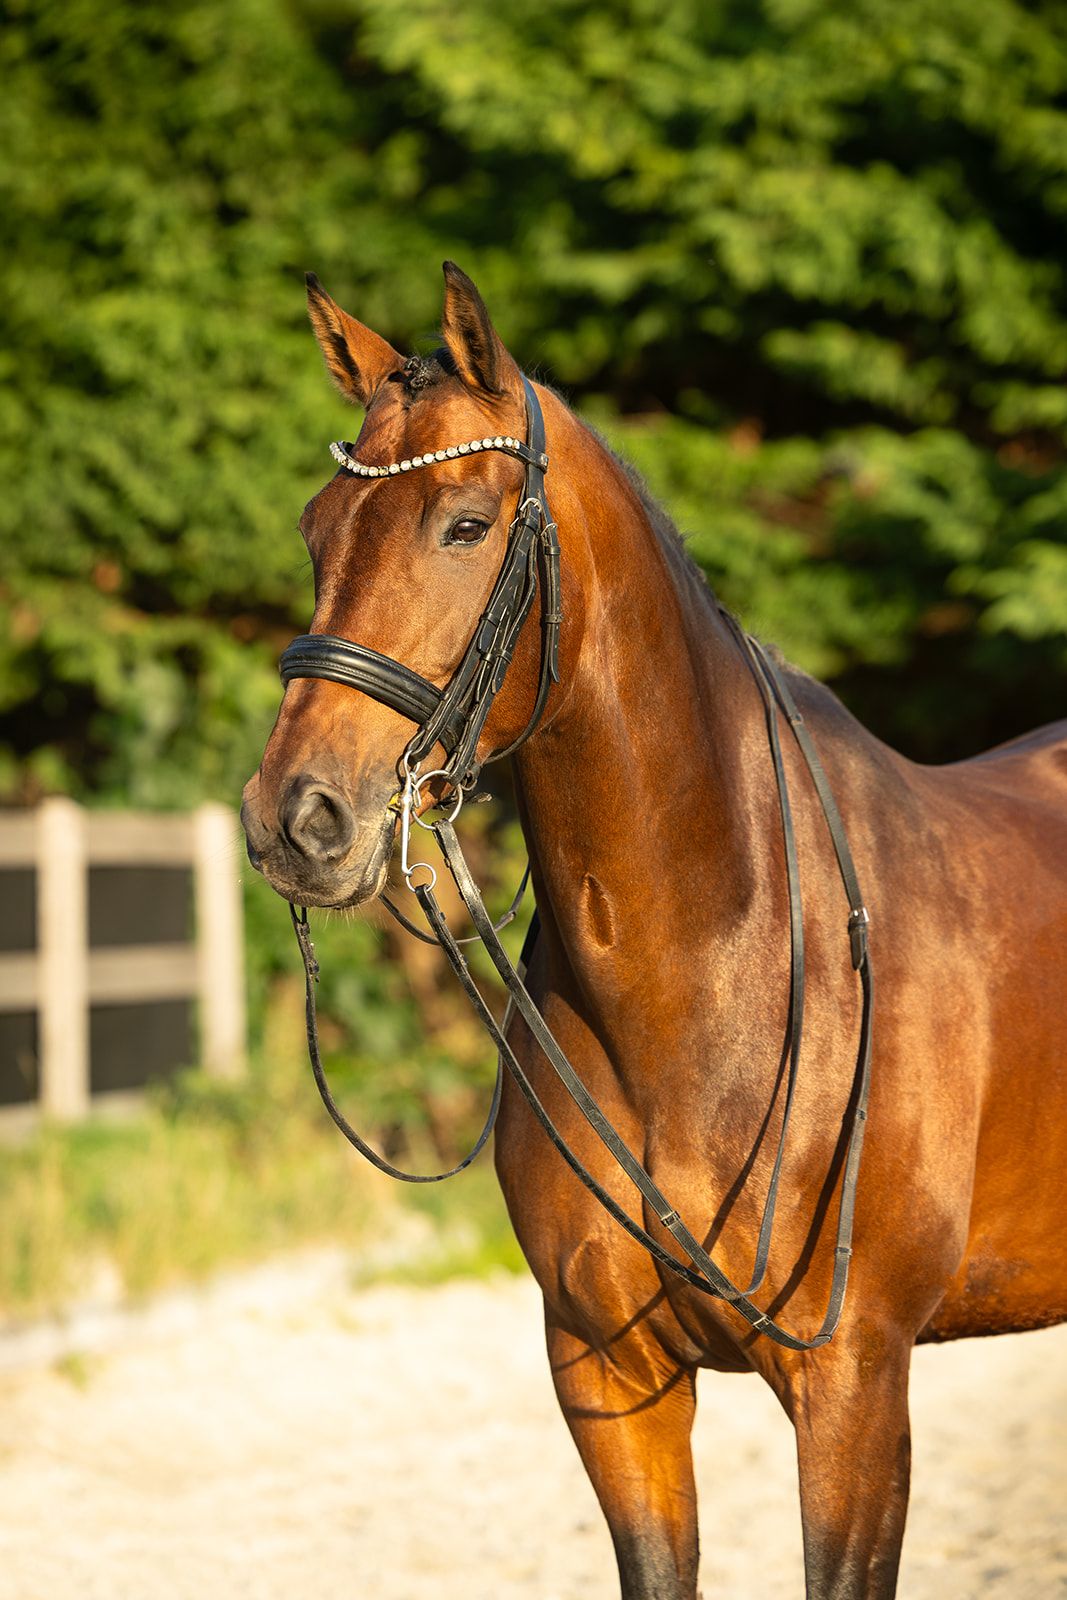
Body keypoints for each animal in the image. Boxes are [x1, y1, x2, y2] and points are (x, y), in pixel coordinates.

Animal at [240, 262, 1067, 1599]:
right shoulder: (606, 1378)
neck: (714, 970)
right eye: (319, 527)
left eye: (462, 524)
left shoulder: (853, 1388)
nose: (294, 817)